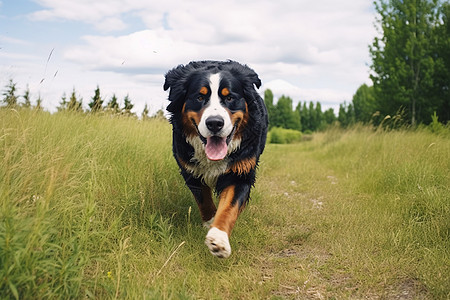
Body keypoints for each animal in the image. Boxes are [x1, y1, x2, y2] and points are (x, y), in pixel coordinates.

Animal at [163, 60, 268, 258]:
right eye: (199, 97)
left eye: (230, 98)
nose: (214, 123)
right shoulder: (191, 171)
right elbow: (204, 200)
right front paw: (210, 221)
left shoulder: (240, 173)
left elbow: (229, 208)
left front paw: (219, 239)